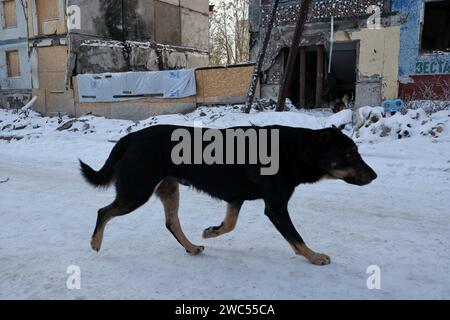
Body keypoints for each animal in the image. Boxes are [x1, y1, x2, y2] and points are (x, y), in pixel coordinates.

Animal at [80, 125, 376, 264]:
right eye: (349, 155)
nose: (374, 176)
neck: (295, 150)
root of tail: (131, 137)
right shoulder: (275, 206)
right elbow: (297, 239)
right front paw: (315, 257)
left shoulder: (236, 197)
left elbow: (230, 224)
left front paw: (211, 231)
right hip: (136, 191)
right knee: (103, 211)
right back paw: (95, 242)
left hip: (168, 188)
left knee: (171, 223)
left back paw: (191, 247)